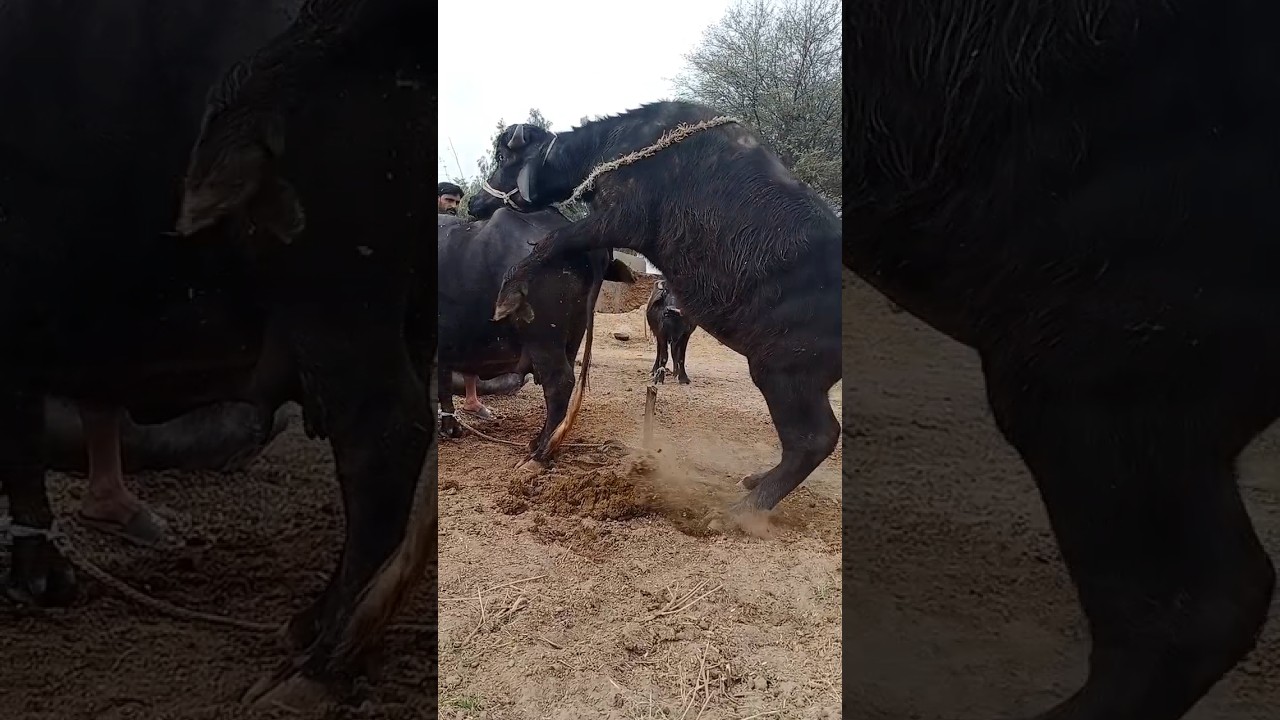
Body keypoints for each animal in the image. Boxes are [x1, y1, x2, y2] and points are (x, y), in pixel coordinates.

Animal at [438, 206, 634, 463]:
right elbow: (443, 383)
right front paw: (450, 428)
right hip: (572, 337)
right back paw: (539, 442)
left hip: (544, 340)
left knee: (560, 383)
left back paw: (541, 452)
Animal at [468, 101, 841, 519]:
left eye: (503, 157)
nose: (475, 204)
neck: (618, 145)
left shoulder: (620, 219)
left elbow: (554, 238)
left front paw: (508, 295)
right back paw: (752, 481)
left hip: (782, 372)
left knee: (814, 439)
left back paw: (736, 513)